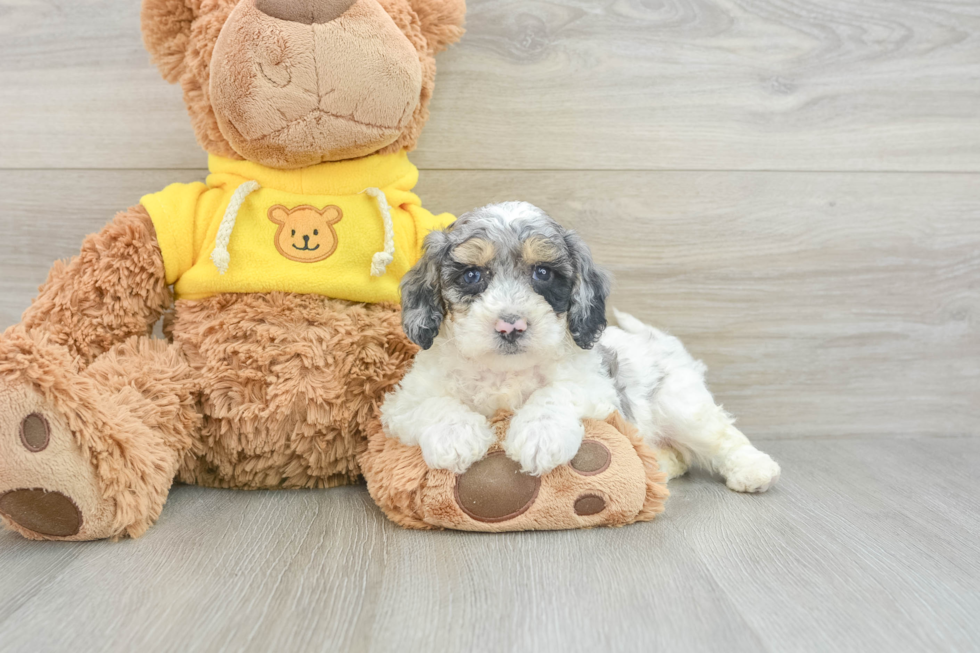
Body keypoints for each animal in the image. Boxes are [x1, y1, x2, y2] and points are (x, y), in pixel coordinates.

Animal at [382, 201, 780, 492]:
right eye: (471, 275)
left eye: (543, 273)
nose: (511, 326)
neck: (505, 372)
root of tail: (663, 341)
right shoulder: (401, 403)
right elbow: (436, 404)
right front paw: (456, 437)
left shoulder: (596, 387)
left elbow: (555, 394)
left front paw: (539, 436)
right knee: (680, 455)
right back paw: (659, 465)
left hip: (680, 404)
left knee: (721, 435)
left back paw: (754, 468)